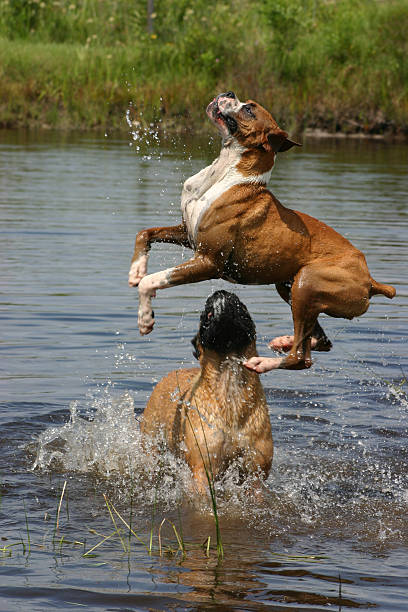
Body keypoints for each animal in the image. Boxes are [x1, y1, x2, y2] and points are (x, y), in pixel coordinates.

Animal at [128, 89, 396, 370]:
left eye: (249, 109)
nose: (228, 92)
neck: (226, 173)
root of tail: (371, 281)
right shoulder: (188, 235)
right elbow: (145, 233)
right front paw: (136, 270)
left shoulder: (208, 262)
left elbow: (151, 281)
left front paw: (145, 318)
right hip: (290, 287)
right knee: (318, 341)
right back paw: (284, 341)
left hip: (305, 284)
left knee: (301, 358)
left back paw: (261, 362)